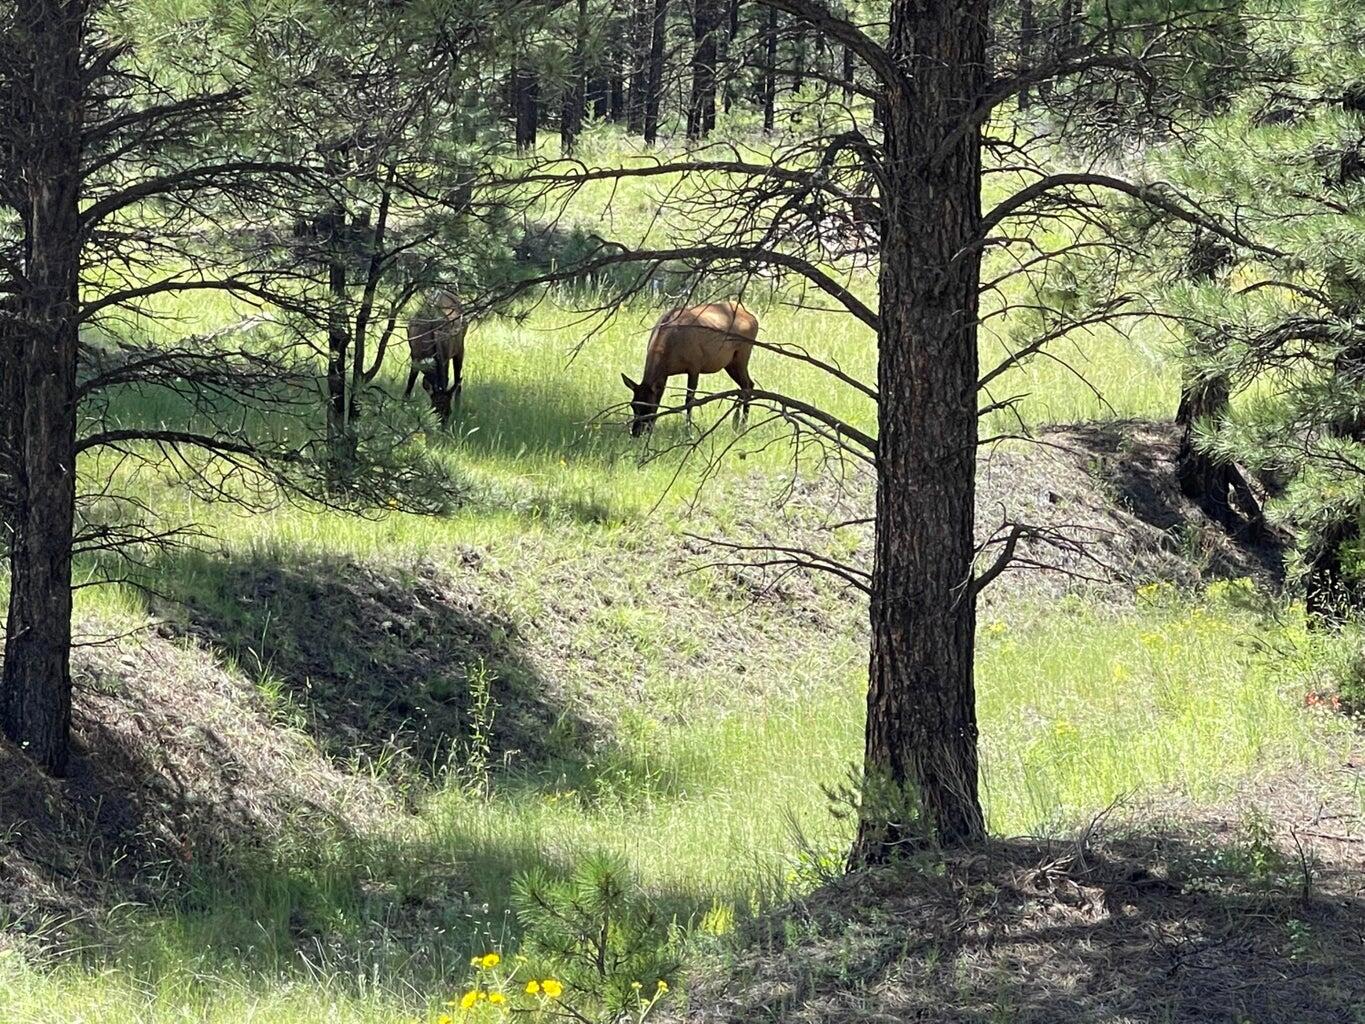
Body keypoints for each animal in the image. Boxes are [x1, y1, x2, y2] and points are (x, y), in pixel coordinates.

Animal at [401, 289, 466, 425]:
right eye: (434, 411)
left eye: (449, 412)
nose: (443, 429)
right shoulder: (414, 356)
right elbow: (409, 384)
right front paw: (402, 408)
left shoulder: (445, 357)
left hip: (460, 348)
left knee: (458, 379)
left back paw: (459, 408)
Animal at [619, 300, 758, 436]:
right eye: (633, 405)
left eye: (648, 406)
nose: (636, 433)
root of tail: (754, 318)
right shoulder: (664, 374)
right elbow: (660, 397)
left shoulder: (694, 366)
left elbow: (689, 401)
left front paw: (688, 432)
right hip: (730, 363)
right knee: (747, 385)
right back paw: (739, 424)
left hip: (743, 354)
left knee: (748, 385)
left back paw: (742, 426)